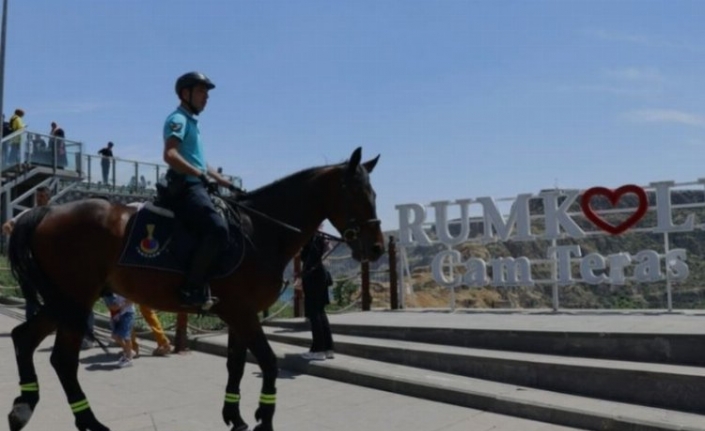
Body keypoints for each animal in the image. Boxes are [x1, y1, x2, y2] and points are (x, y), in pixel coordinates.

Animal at [5, 148, 382, 431]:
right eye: (357, 195)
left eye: (374, 195)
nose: (377, 248)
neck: (259, 230)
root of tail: (45, 211)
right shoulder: (244, 314)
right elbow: (269, 362)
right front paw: (264, 419)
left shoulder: (237, 314)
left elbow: (236, 364)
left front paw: (235, 416)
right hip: (76, 300)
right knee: (62, 360)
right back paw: (89, 422)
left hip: (62, 301)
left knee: (24, 338)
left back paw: (25, 406)